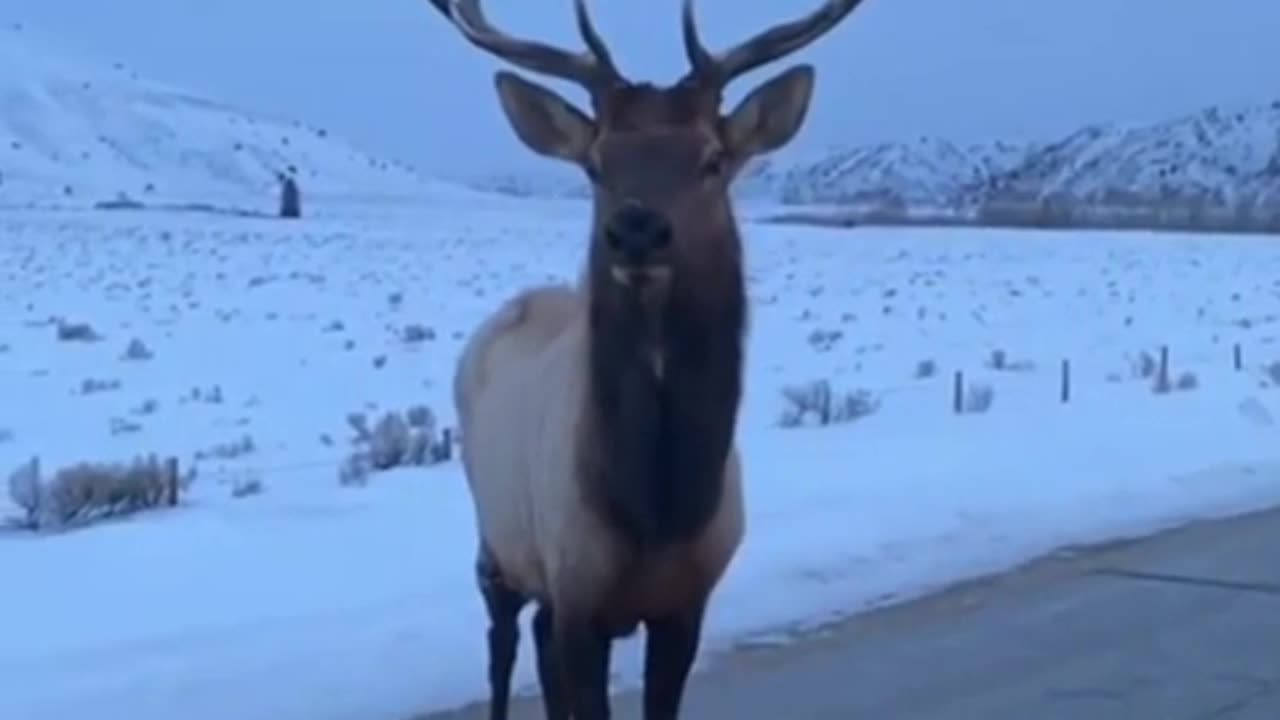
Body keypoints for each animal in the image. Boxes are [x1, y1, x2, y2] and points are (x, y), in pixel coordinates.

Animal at [431, 0, 871, 717]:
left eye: (713, 158)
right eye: (596, 163)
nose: (636, 229)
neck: (657, 510)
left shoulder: (685, 601)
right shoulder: (579, 589)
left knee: (538, 641)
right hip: (497, 540)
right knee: (502, 646)